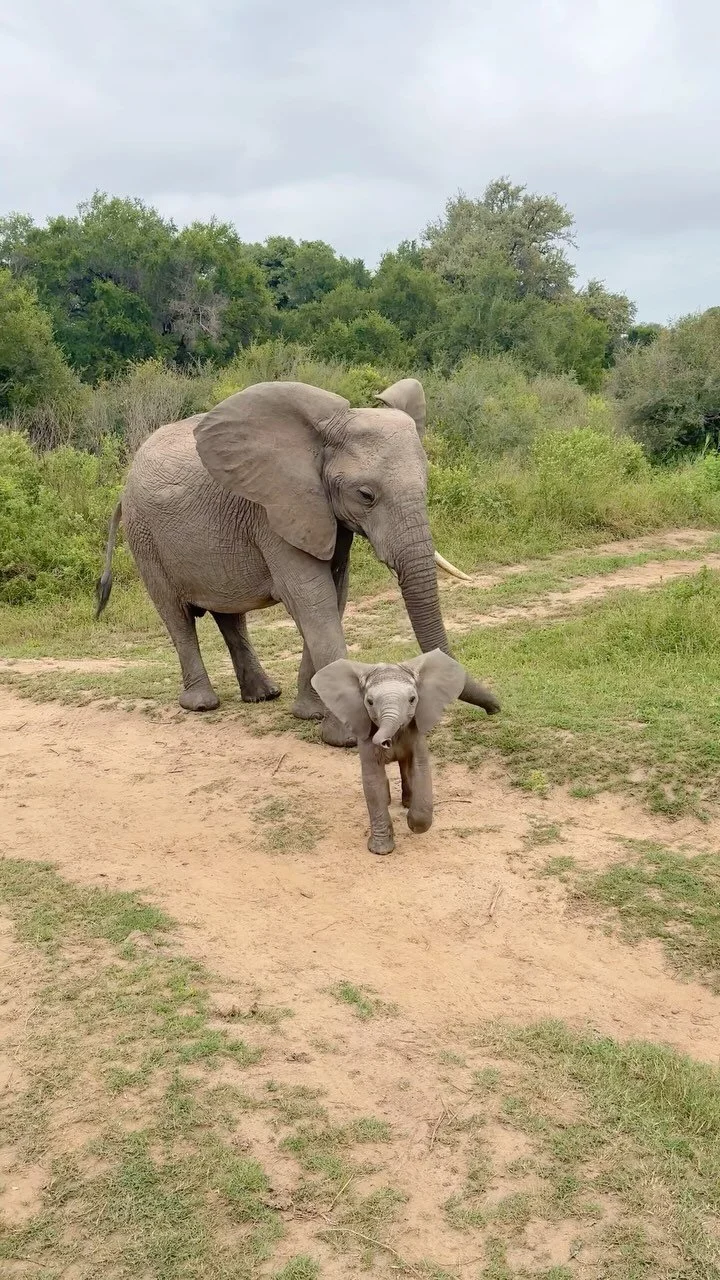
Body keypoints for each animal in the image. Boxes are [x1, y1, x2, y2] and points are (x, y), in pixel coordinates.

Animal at [96, 377, 500, 746]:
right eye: (365, 495)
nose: (496, 707)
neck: (319, 440)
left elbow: (334, 596)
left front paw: (311, 715)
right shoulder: (274, 513)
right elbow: (312, 602)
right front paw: (346, 737)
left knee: (230, 616)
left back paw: (263, 695)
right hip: (144, 536)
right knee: (175, 614)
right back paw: (201, 704)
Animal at [311, 650, 465, 854]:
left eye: (412, 699)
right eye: (369, 702)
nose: (385, 743)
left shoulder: (416, 732)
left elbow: (421, 769)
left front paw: (413, 824)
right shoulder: (366, 733)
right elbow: (373, 780)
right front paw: (381, 851)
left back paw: (407, 803)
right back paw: (389, 801)